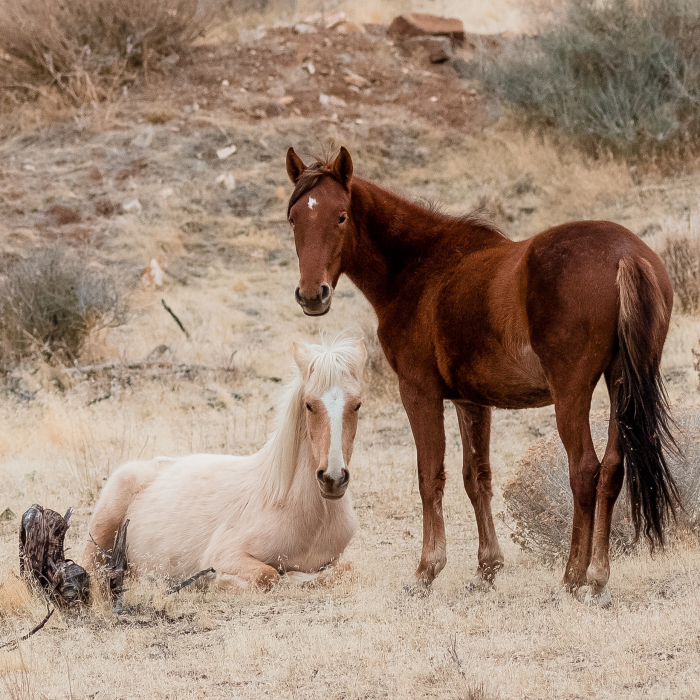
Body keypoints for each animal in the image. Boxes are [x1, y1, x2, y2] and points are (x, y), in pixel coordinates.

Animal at [83, 335, 367, 590]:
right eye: (309, 405)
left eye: (357, 405)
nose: (333, 479)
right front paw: (217, 581)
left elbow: (348, 569)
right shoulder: (226, 555)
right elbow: (267, 575)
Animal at [284, 146, 680, 605]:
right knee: (614, 470)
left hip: (572, 393)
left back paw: (572, 577)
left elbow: (429, 476)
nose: (312, 296)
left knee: (585, 471)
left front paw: (426, 571)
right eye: (295, 218)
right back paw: (598, 578)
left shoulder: (418, 393)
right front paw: (486, 569)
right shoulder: (471, 401)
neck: (423, 268)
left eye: (341, 216)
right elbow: (477, 477)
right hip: (620, 389)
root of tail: (624, 253)